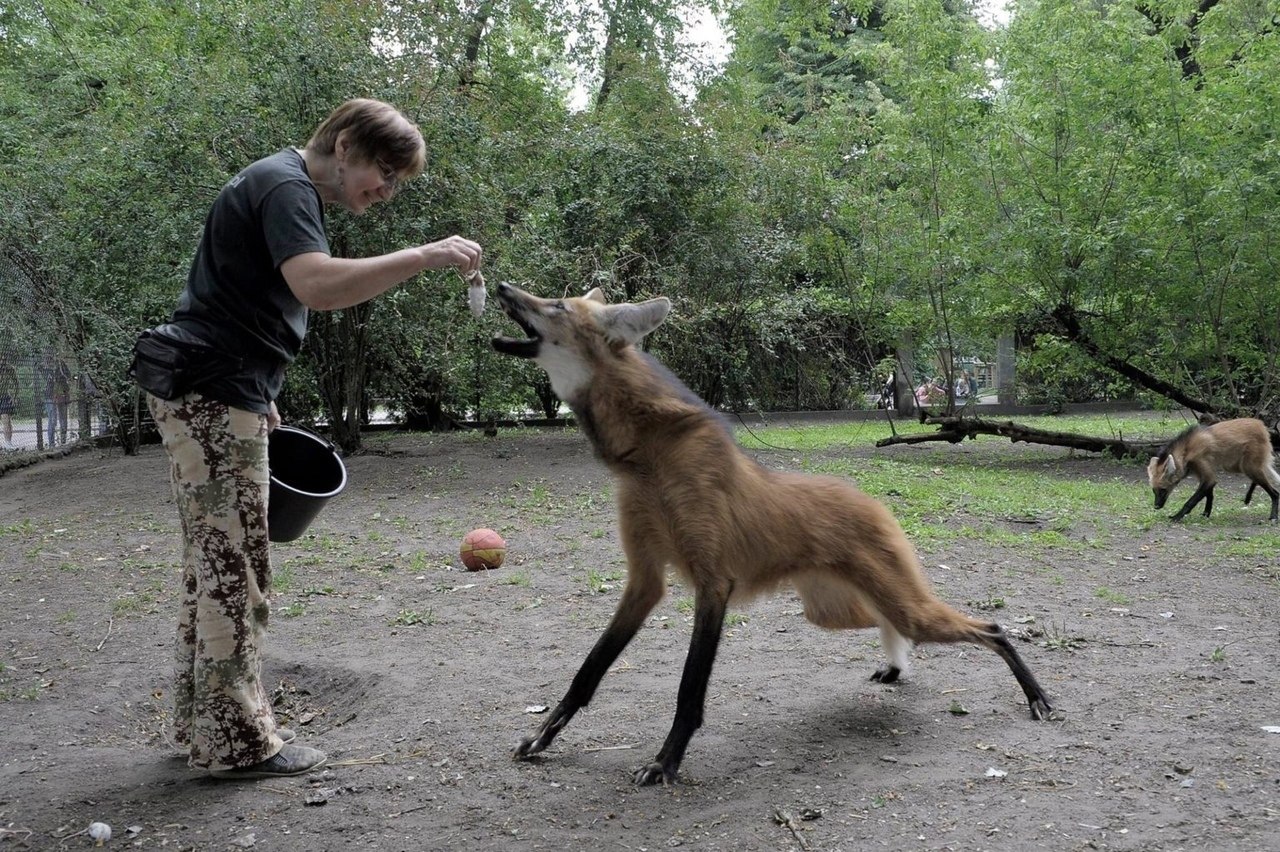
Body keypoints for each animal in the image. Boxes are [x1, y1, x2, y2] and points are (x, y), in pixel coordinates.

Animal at [488, 284, 1049, 782]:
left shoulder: (713, 584)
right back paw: (897, 667)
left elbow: (689, 690)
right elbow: (588, 672)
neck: (648, 456)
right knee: (889, 622)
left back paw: (1036, 697)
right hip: (830, 610)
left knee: (988, 628)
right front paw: (541, 739)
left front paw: (665, 763)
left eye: (555, 305)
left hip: (894, 604)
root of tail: (873, 501)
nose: (501, 287)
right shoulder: (645, 582)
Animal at [1152, 417, 1280, 521]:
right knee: (1259, 477)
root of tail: (1262, 425)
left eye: (1163, 490)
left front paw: (1177, 516)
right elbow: (1210, 495)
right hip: (1240, 466)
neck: (1186, 450)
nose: (1156, 506)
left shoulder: (1203, 466)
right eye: (1154, 490)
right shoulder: (1202, 473)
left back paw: (1273, 516)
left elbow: (1192, 500)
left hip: (1246, 466)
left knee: (1275, 492)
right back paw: (1248, 497)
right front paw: (1206, 514)